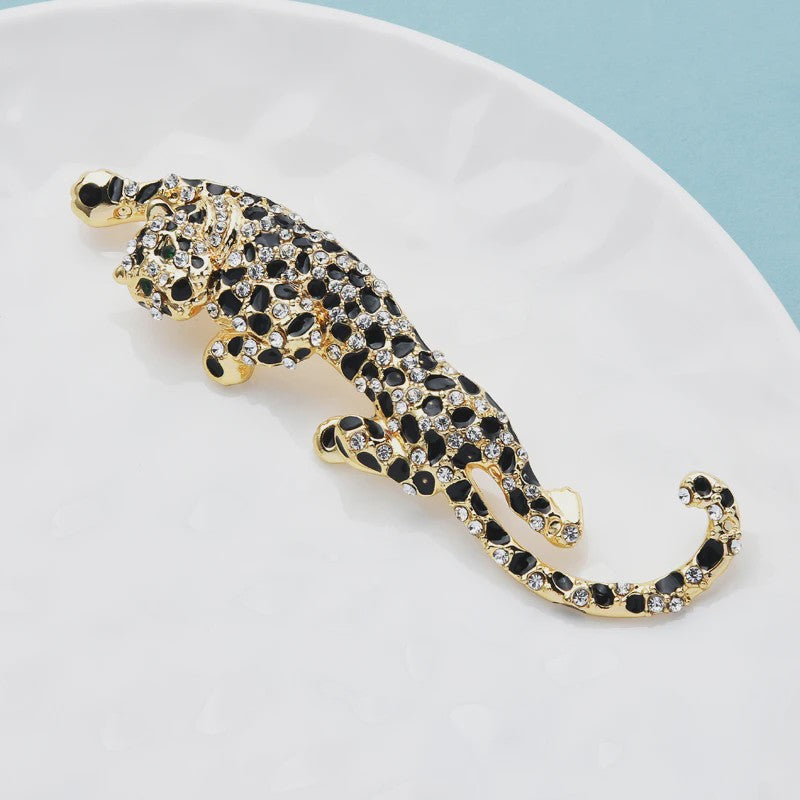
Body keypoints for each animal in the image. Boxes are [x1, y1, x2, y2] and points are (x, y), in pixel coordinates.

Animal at [72, 169, 743, 617]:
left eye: (168, 265)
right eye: (145, 265)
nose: (143, 286)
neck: (238, 252)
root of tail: (459, 463)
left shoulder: (292, 322)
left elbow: (248, 343)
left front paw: (223, 359)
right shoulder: (222, 196)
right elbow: (159, 183)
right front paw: (95, 192)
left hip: (482, 441)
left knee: (533, 511)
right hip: (437, 460)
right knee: (474, 494)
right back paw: (348, 437)